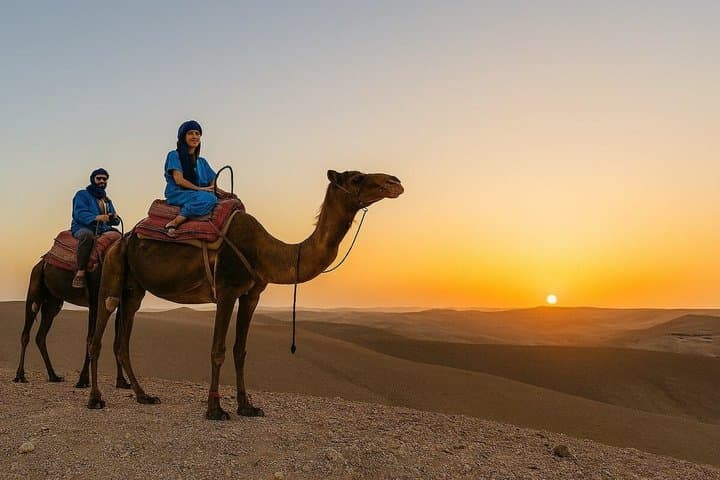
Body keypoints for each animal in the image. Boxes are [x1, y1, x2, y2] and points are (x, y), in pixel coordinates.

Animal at [14, 259, 130, 389]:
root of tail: (39, 264)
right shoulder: (95, 300)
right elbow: (91, 339)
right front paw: (83, 380)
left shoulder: (119, 303)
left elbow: (117, 343)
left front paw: (121, 381)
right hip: (35, 286)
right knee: (26, 333)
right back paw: (20, 376)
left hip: (53, 301)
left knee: (41, 336)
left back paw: (54, 376)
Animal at [87, 169, 403, 419]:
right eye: (356, 178)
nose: (395, 182)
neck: (264, 251)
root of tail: (123, 239)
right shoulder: (227, 290)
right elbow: (218, 350)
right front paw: (215, 409)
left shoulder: (251, 295)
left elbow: (241, 350)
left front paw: (247, 406)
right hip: (111, 275)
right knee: (97, 336)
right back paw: (95, 399)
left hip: (134, 289)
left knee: (122, 341)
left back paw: (144, 395)